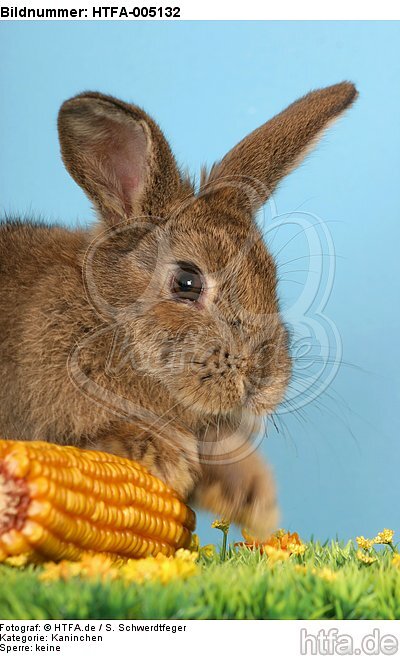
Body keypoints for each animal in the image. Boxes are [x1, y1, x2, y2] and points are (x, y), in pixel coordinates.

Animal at [0, 82, 357, 538]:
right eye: (187, 282)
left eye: (272, 278)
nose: (263, 380)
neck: (108, 322)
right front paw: (160, 452)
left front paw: (253, 499)